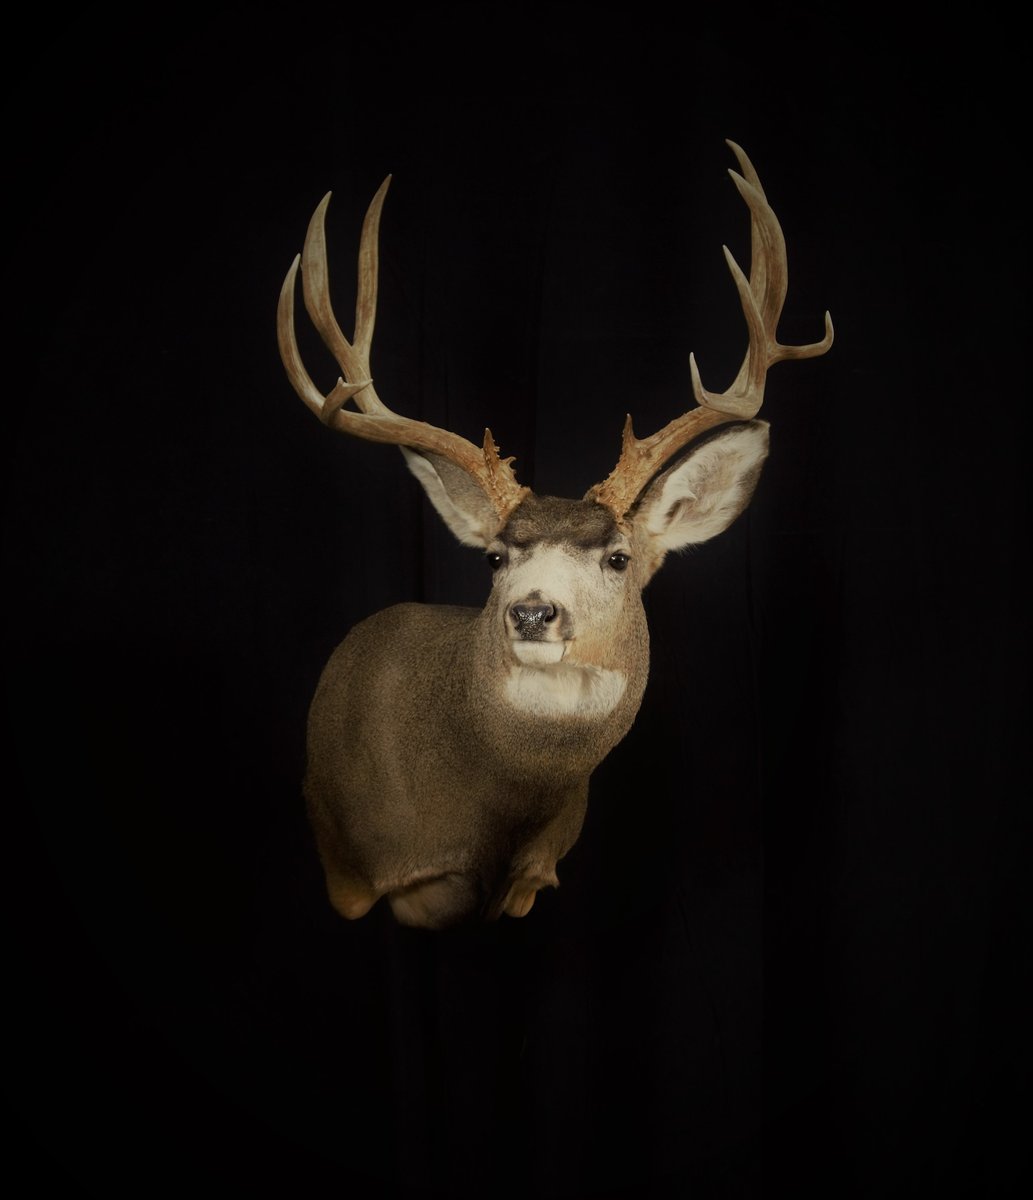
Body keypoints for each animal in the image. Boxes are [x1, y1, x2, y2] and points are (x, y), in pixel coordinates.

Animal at [277, 140, 833, 931]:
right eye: (494, 556)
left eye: (619, 557)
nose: (533, 611)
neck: (486, 816)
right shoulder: (358, 874)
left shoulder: (536, 875)